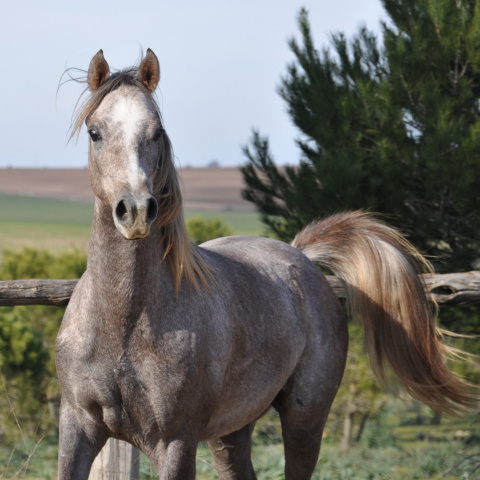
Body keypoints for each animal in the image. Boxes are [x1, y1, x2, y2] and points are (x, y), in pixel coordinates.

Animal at [54, 49, 474, 480]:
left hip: (305, 419)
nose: (136, 211)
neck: (122, 323)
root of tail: (302, 256)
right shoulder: (77, 428)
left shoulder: (174, 443)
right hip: (233, 430)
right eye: (95, 132)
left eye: (156, 132)